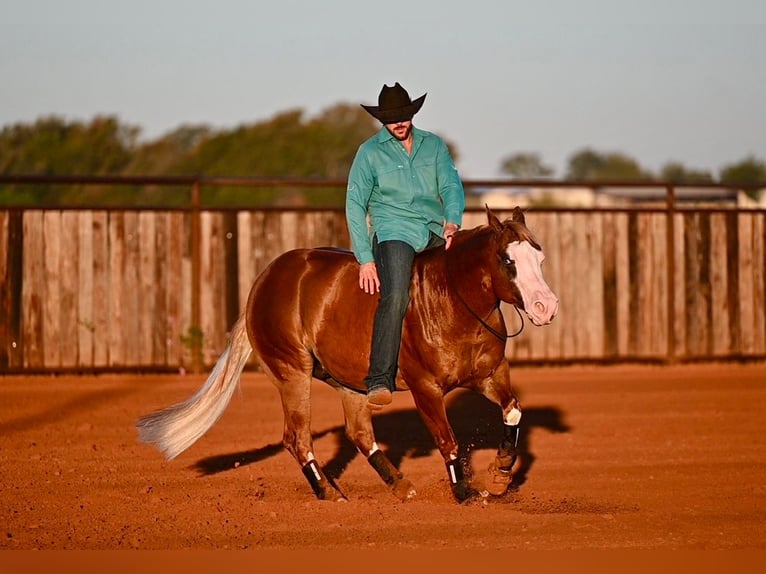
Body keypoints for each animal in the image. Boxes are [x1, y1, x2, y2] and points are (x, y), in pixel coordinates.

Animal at [137, 206, 558, 502]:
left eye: (540, 258)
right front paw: (464, 492)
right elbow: (448, 440)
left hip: (349, 383)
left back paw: (400, 486)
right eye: (508, 260)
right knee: (297, 438)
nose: (545, 307)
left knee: (358, 434)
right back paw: (329, 492)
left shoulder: (490, 374)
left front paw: (500, 475)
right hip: (291, 371)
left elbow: (513, 410)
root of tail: (262, 283)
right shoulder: (425, 389)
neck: (451, 300)